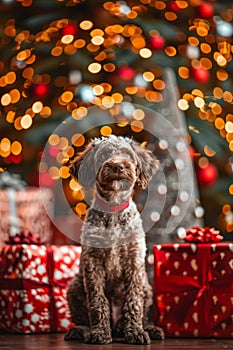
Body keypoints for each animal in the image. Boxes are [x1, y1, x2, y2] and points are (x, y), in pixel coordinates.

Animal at [64, 135, 165, 344]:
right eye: (103, 155)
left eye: (127, 154)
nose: (118, 166)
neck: (113, 210)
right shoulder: (93, 263)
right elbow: (97, 300)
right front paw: (100, 333)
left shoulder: (134, 261)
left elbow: (133, 301)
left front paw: (135, 332)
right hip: (75, 286)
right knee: (83, 318)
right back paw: (81, 330)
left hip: (147, 287)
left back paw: (148, 329)